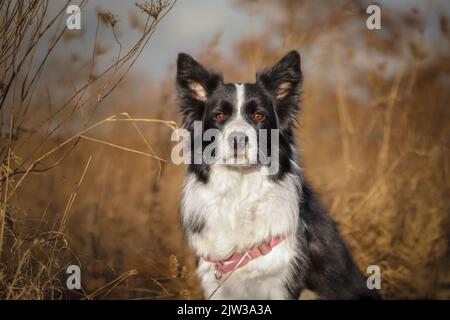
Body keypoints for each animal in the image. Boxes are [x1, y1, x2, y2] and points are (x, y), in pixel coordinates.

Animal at [176, 50, 380, 300]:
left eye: (259, 116)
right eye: (219, 116)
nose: (238, 140)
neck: (240, 190)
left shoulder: (282, 282)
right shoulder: (215, 282)